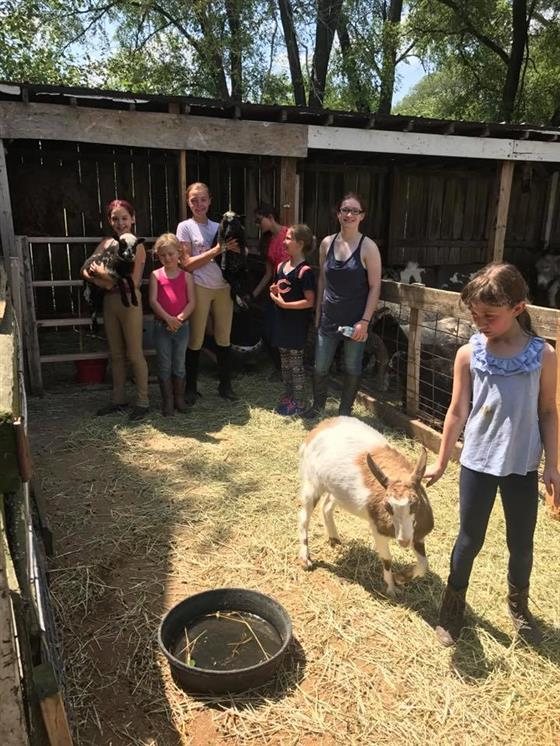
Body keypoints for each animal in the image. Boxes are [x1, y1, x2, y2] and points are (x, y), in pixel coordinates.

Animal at [298, 417, 434, 596]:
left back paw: (335, 539)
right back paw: (305, 559)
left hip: (335, 489)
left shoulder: (417, 534)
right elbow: (387, 559)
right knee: (304, 518)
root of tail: (322, 425)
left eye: (415, 502)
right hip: (312, 483)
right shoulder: (378, 530)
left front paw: (401, 578)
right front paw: (391, 588)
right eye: (387, 506)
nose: (404, 541)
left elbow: (424, 564)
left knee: (326, 506)